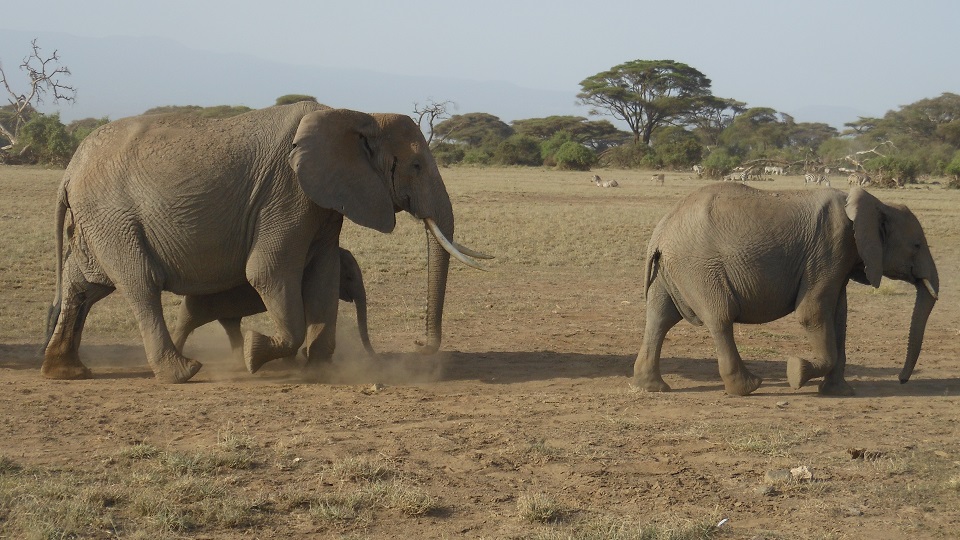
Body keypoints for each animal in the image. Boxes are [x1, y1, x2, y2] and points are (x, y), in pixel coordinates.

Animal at [633, 182, 939, 396]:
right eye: (916, 245)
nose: (902, 380)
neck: (876, 204)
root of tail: (660, 233)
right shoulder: (830, 248)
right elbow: (811, 314)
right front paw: (796, 373)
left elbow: (839, 317)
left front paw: (840, 393)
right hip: (699, 267)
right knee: (720, 317)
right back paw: (749, 387)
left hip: (672, 270)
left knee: (659, 318)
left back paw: (652, 387)